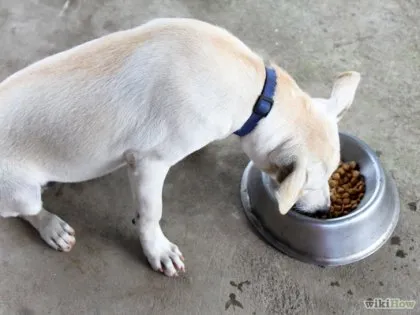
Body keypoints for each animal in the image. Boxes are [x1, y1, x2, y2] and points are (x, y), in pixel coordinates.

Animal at [0, 18, 360, 278]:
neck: (260, 97)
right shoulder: (149, 162)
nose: (324, 211)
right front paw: (159, 252)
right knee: (24, 211)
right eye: (303, 185)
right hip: (20, 190)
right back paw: (52, 227)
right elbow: (150, 214)